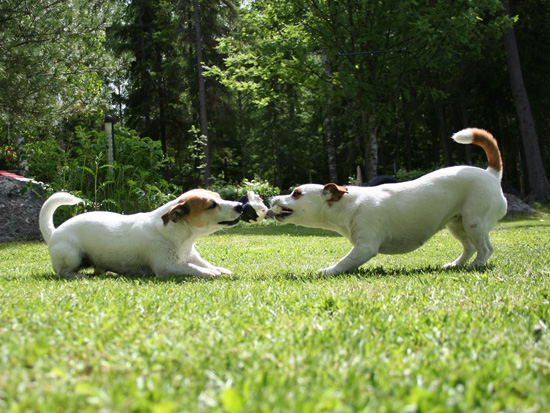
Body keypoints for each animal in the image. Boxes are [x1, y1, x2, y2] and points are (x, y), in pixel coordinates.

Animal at [39, 189, 243, 279]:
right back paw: (77, 275)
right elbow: (196, 269)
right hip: (72, 255)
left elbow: (205, 264)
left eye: (219, 197)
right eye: (211, 205)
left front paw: (219, 269)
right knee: (62, 271)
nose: (240, 206)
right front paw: (212, 273)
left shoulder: (191, 256)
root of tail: (54, 232)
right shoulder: (168, 266)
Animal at [270, 128, 508, 275]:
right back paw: (455, 265)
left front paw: (326, 271)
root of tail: (491, 173)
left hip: (474, 221)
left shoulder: (365, 247)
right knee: (469, 247)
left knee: (485, 249)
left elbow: (343, 263)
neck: (348, 205)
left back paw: (474, 266)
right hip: (456, 224)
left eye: (297, 193)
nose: (272, 197)